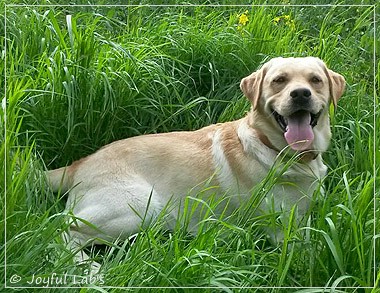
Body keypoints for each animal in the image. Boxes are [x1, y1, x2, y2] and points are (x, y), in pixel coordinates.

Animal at [46, 56, 344, 266]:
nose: (301, 93)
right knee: (62, 232)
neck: (279, 151)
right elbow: (314, 253)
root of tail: (78, 164)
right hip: (141, 206)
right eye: (279, 80)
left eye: (315, 80)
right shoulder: (282, 231)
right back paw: (90, 269)